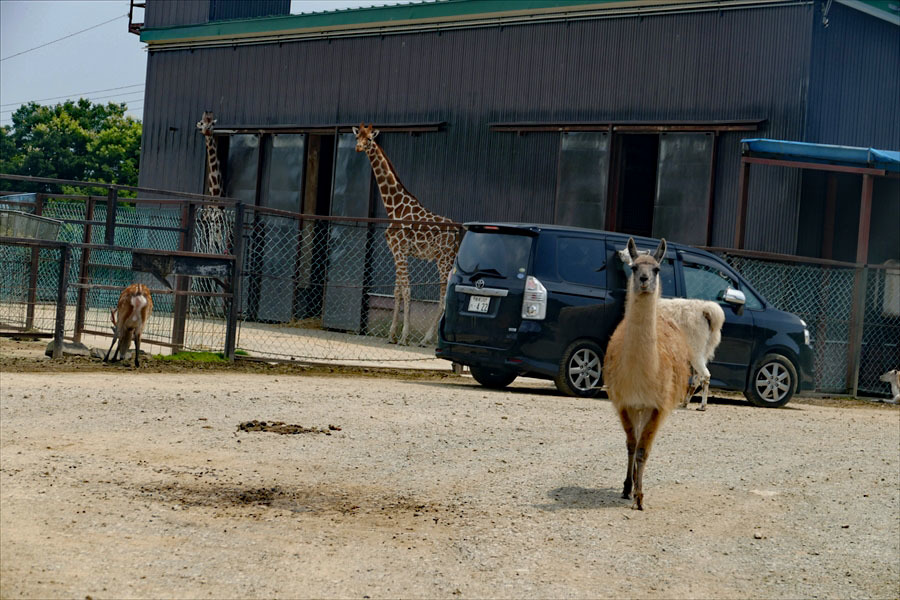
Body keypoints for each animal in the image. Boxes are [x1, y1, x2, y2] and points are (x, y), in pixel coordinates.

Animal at [354, 124, 460, 344]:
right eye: (358, 136)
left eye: (370, 139)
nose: (358, 148)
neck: (394, 207)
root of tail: (459, 234)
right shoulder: (396, 252)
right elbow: (397, 291)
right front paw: (391, 334)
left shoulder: (401, 251)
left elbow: (407, 290)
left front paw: (403, 336)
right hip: (447, 259)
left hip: (444, 259)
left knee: (444, 296)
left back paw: (426, 339)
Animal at [600, 237, 692, 508]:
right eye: (633, 267)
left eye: (657, 269)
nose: (643, 280)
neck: (641, 376)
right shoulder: (624, 402)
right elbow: (631, 445)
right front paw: (628, 488)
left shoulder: (658, 406)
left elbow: (643, 449)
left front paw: (640, 497)